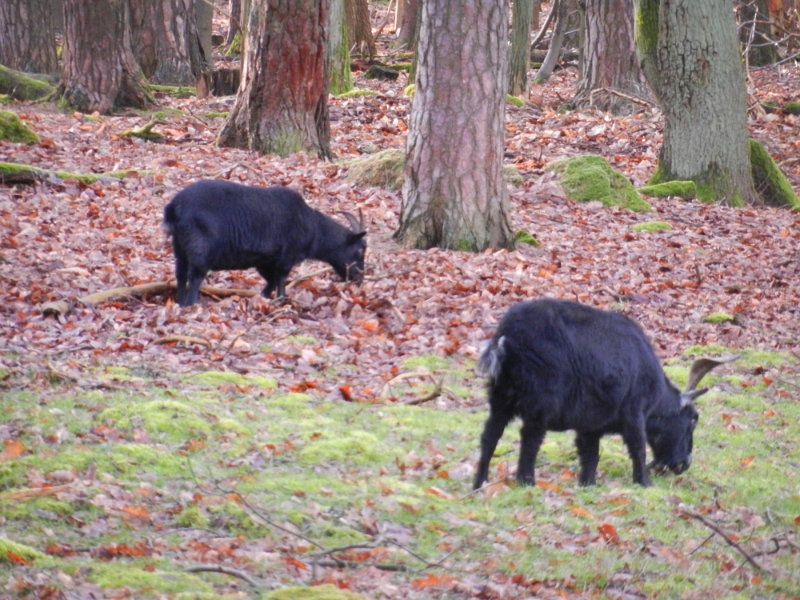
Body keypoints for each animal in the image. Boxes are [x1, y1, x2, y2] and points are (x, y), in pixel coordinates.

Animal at [163, 179, 368, 308]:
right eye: (360, 250)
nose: (359, 278)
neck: (311, 225)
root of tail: (174, 207)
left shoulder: (264, 261)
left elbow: (271, 282)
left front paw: (264, 298)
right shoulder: (286, 258)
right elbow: (281, 280)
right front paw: (281, 302)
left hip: (179, 247)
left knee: (180, 274)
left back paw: (180, 302)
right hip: (200, 248)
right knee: (194, 276)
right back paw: (191, 304)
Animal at [472, 298, 740, 490]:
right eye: (693, 419)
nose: (684, 463)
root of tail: (506, 337)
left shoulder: (589, 425)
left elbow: (590, 456)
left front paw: (587, 484)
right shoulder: (634, 413)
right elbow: (638, 447)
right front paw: (644, 483)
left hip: (500, 397)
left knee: (490, 435)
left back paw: (480, 483)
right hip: (540, 401)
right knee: (530, 438)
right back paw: (527, 482)